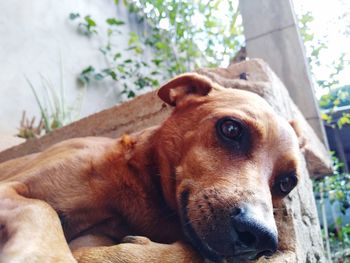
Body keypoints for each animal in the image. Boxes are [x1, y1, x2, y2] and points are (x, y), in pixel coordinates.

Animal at [0, 73, 300, 263]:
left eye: (287, 182)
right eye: (231, 129)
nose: (262, 238)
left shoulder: (92, 236)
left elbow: (192, 251)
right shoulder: (10, 188)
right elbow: (41, 208)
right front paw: (47, 255)